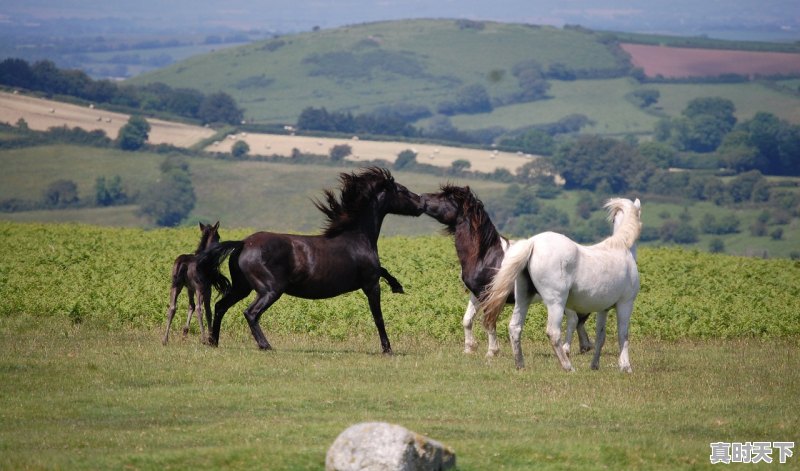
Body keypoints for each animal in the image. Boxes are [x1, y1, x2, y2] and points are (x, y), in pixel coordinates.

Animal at [196, 169, 424, 354]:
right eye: (403, 191)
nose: (422, 203)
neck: (358, 237)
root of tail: (243, 244)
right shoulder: (371, 284)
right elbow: (378, 317)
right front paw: (387, 349)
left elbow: (384, 273)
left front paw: (397, 286)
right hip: (270, 289)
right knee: (250, 313)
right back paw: (265, 345)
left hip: (242, 287)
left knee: (220, 306)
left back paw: (213, 342)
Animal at [422, 184, 592, 358]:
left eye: (446, 197)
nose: (422, 198)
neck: (486, 256)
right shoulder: (477, 294)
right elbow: (467, 319)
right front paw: (469, 348)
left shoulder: (489, 296)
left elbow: (489, 322)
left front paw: (491, 352)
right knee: (578, 319)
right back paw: (584, 347)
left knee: (573, 319)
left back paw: (566, 349)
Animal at [482, 198, 644, 372]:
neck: (621, 247)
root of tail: (533, 243)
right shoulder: (625, 304)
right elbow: (623, 335)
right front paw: (626, 367)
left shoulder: (603, 309)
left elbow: (601, 337)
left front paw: (594, 365)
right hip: (556, 303)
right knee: (553, 332)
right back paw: (568, 367)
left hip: (523, 299)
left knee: (515, 327)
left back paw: (520, 365)